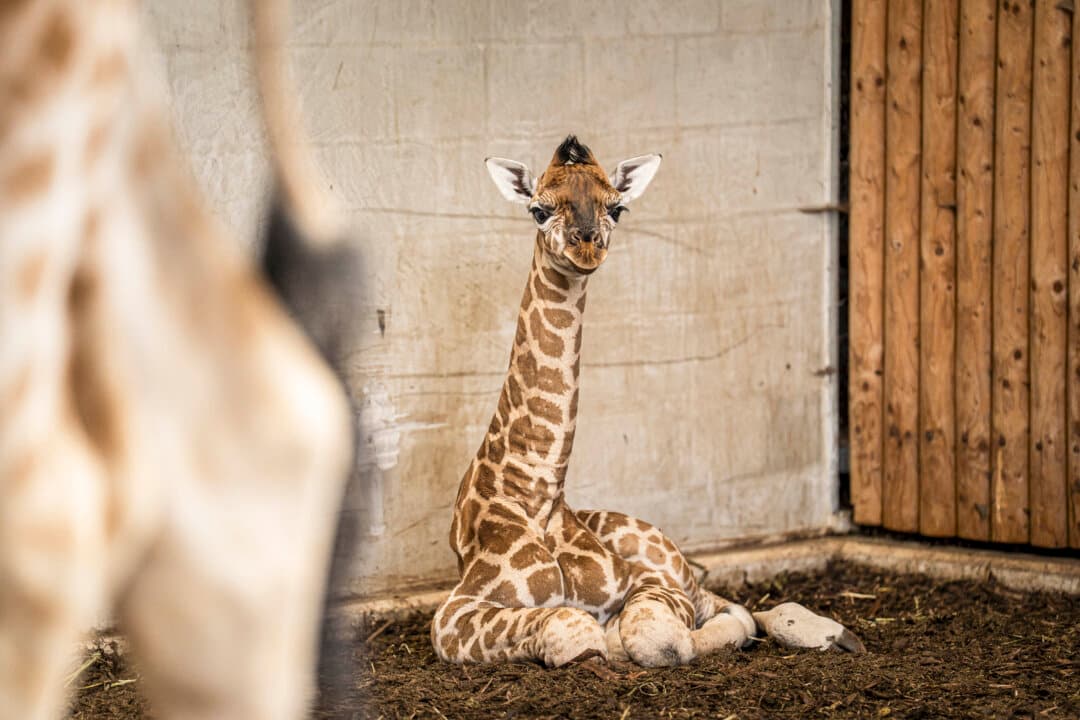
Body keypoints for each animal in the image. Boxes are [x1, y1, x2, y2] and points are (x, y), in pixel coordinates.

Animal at [431, 136, 865, 668]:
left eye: (617, 207)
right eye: (538, 209)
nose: (586, 246)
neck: (537, 492)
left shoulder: (647, 580)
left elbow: (660, 635)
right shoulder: (453, 612)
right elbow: (576, 627)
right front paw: (604, 639)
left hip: (665, 553)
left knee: (733, 606)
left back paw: (832, 633)